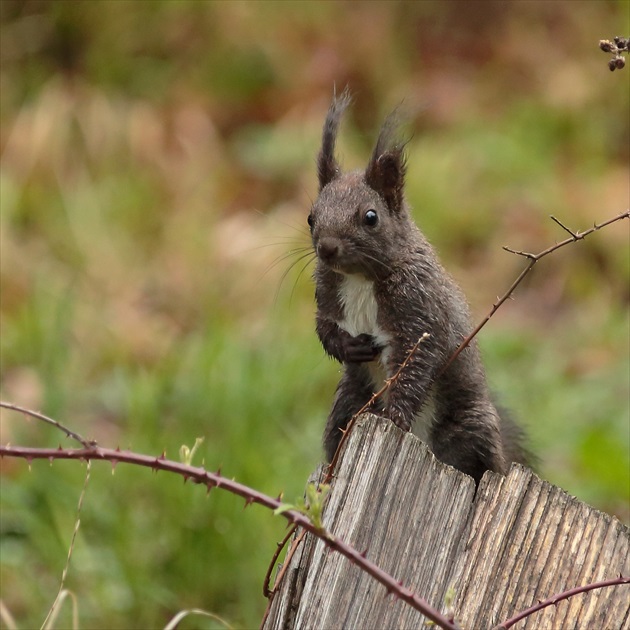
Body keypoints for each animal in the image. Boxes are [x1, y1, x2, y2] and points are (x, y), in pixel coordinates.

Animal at [308, 90, 532, 484]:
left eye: (370, 217)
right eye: (310, 218)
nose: (327, 248)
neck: (360, 278)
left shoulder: (419, 313)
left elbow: (414, 367)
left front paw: (395, 417)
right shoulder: (328, 295)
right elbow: (324, 329)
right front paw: (350, 347)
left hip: (470, 426)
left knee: (478, 465)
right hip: (348, 405)